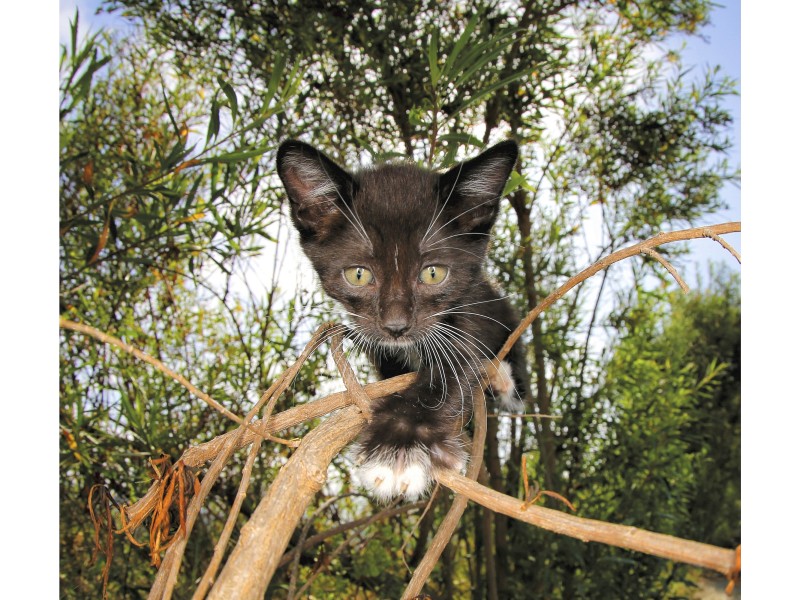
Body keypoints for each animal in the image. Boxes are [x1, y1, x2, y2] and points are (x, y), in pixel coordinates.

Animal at [276, 141, 532, 502]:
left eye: (433, 273)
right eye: (358, 274)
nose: (396, 327)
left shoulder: (468, 309)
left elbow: (453, 365)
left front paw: (399, 445)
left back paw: (502, 379)